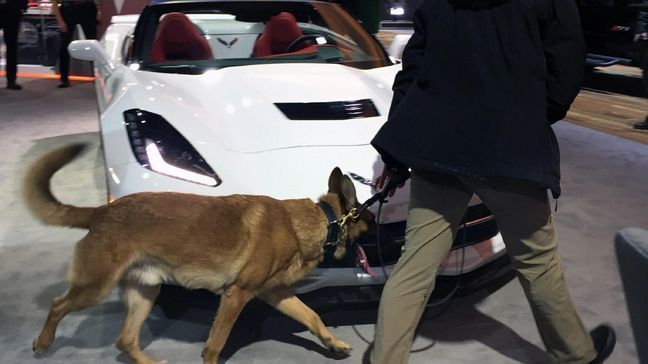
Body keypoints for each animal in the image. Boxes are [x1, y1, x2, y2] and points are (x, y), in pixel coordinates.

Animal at [25, 144, 372, 364]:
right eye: (369, 218)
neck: (320, 220)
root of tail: (100, 212)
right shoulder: (236, 295)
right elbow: (215, 345)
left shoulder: (276, 294)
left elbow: (313, 317)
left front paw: (333, 343)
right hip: (95, 287)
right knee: (58, 305)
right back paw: (42, 342)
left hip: (145, 293)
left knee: (124, 340)